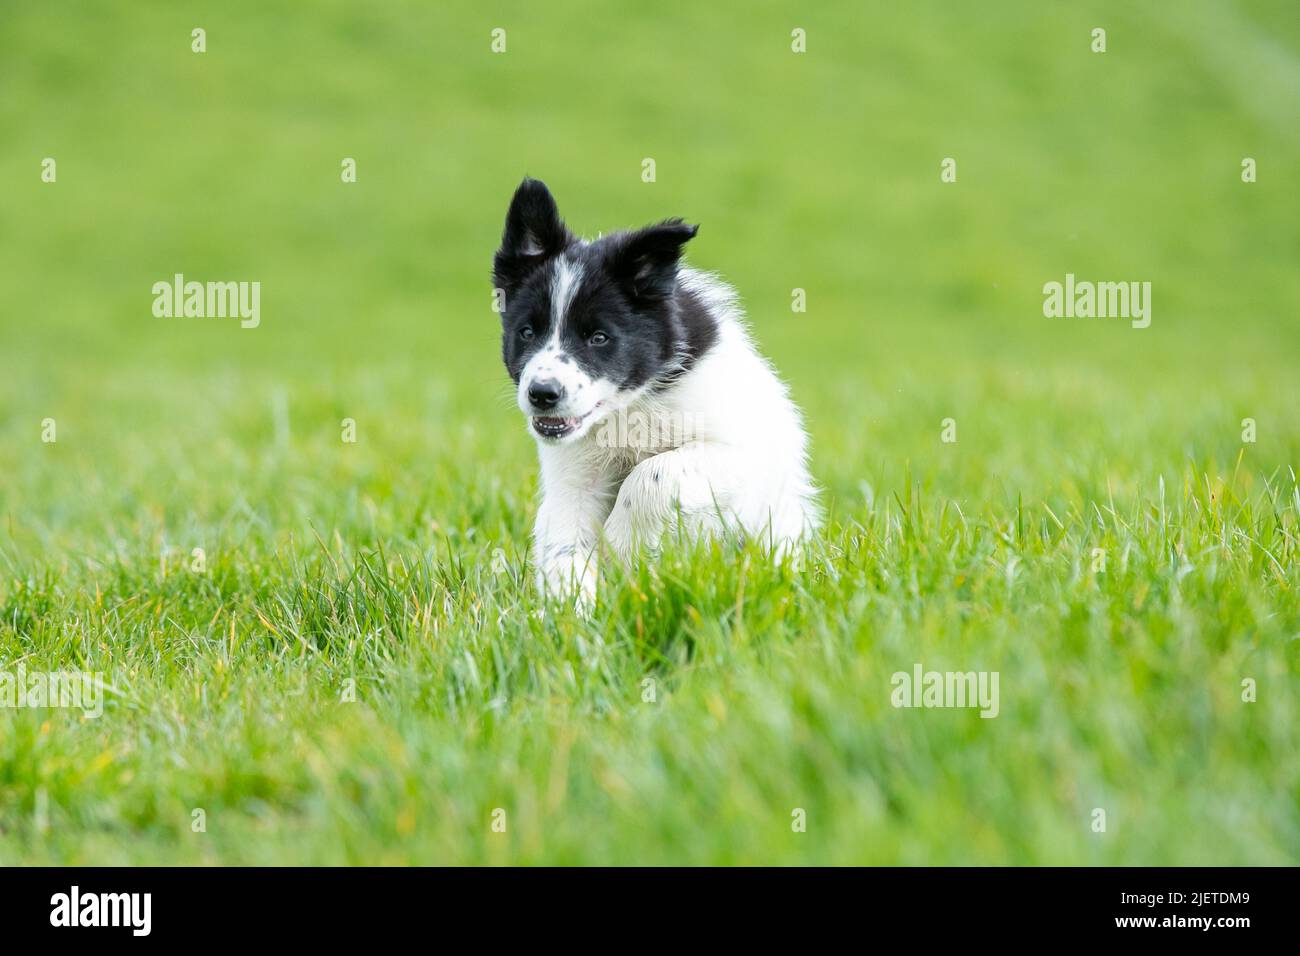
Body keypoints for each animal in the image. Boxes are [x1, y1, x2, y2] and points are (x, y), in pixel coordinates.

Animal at [491, 178, 816, 606]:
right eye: (527, 332)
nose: (542, 394)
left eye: (599, 337)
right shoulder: (573, 476)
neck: (630, 405)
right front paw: (574, 611)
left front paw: (619, 544)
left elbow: (652, 474)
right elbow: (565, 540)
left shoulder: (739, 452)